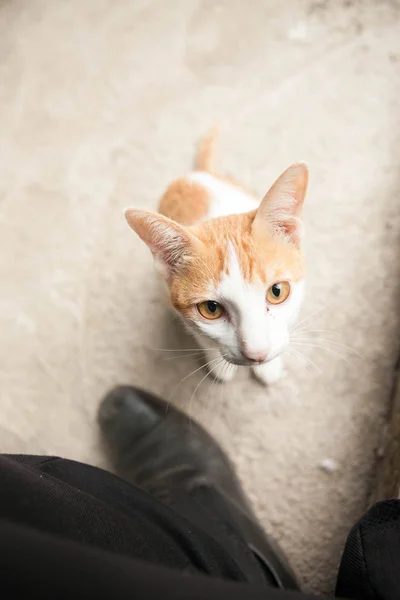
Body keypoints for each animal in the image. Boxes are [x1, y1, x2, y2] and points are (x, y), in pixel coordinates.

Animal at [126, 129, 308, 386]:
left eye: (277, 291)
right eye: (211, 309)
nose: (257, 354)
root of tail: (199, 174)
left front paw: (269, 366)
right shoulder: (176, 305)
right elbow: (202, 337)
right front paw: (218, 363)